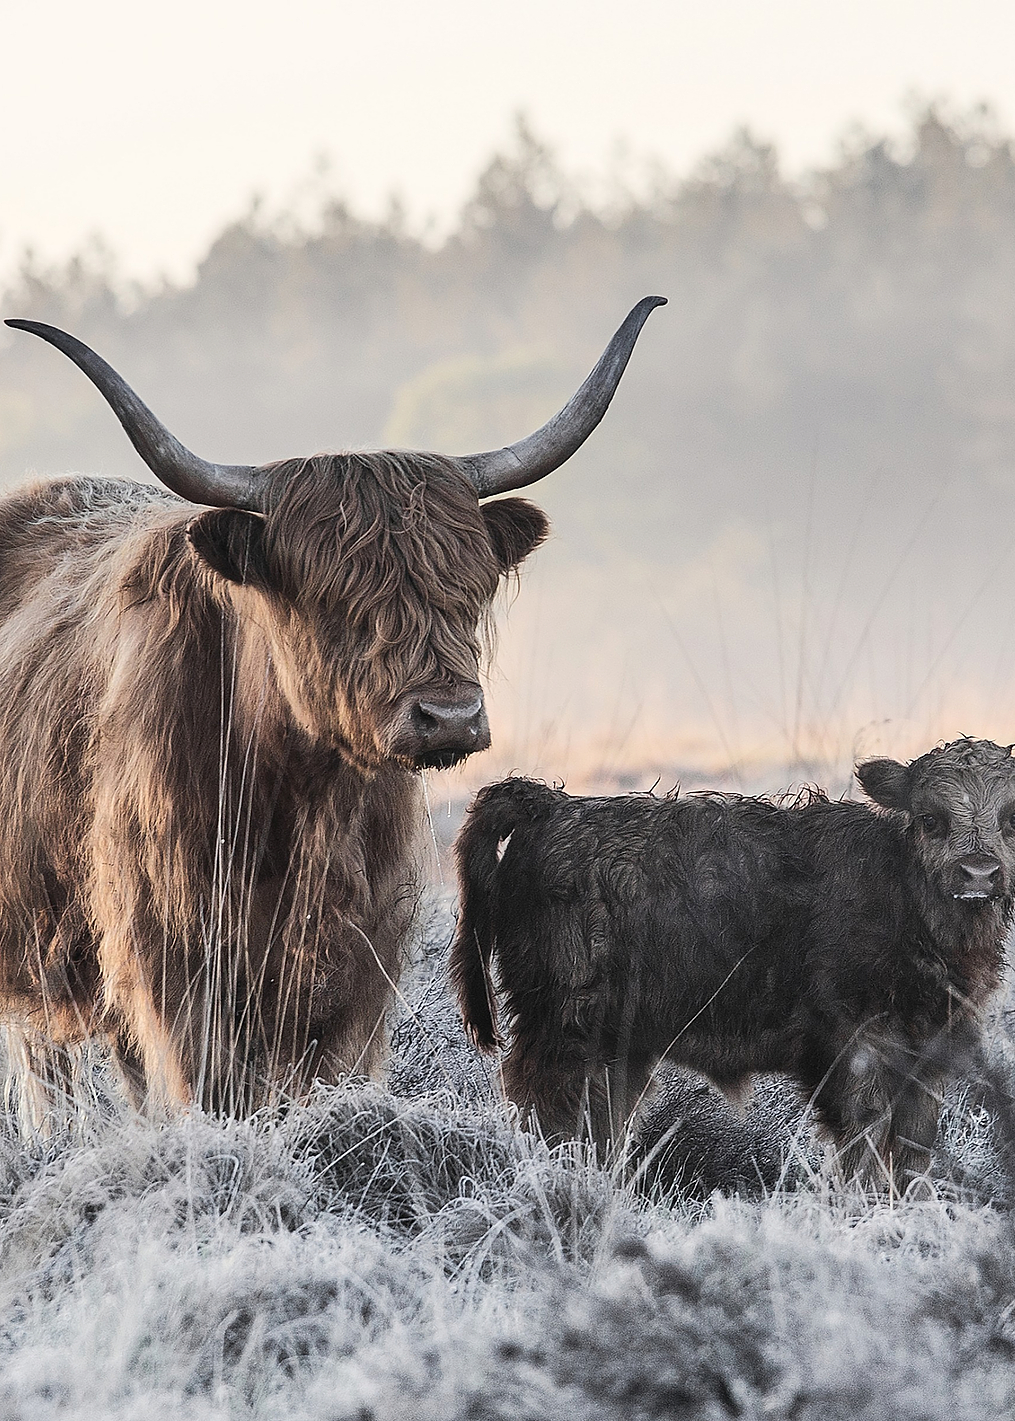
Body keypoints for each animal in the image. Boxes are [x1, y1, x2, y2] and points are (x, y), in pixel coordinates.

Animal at [0, 295, 665, 1122]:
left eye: (468, 590)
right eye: (333, 600)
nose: (449, 716)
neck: (303, 796)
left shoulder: (358, 961)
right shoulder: (173, 953)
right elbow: (208, 1087)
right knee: (50, 1069)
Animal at [451, 739, 1015, 1191]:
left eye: (1010, 819)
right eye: (931, 819)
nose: (978, 873)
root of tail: (552, 806)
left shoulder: (928, 1056)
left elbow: (913, 1153)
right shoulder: (853, 1051)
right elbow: (866, 1147)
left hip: (618, 1047)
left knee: (602, 1123)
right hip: (562, 1026)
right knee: (547, 1112)